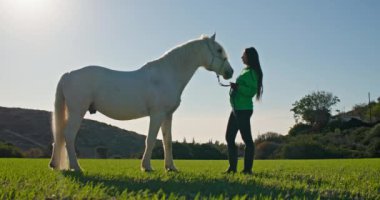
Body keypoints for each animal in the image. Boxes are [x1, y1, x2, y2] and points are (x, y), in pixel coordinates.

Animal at [49, 34, 233, 172]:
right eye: (218, 49)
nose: (229, 72)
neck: (167, 74)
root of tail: (68, 74)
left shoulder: (167, 115)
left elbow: (167, 141)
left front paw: (171, 167)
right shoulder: (157, 114)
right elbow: (150, 140)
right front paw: (147, 167)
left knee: (60, 136)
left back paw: (56, 164)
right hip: (77, 112)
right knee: (68, 136)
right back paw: (76, 167)